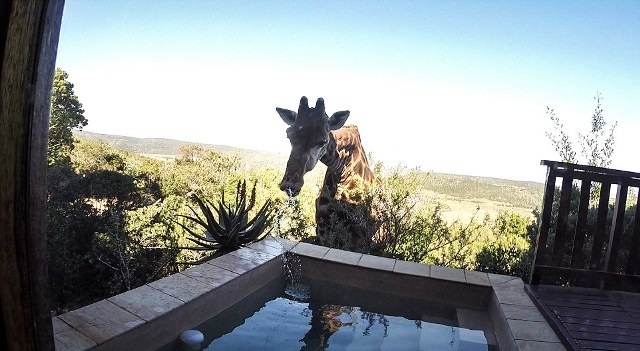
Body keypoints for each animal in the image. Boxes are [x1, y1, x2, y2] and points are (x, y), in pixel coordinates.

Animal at [276, 96, 380, 253]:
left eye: (323, 141)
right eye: (289, 135)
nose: (289, 184)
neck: (343, 171)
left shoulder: (361, 237)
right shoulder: (322, 228)